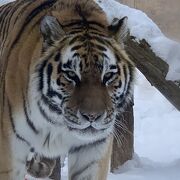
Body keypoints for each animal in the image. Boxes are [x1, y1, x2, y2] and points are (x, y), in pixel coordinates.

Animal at [0, 0, 134, 179]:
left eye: (108, 75)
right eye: (71, 74)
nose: (92, 116)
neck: (56, 122)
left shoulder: (92, 150)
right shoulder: (10, 149)